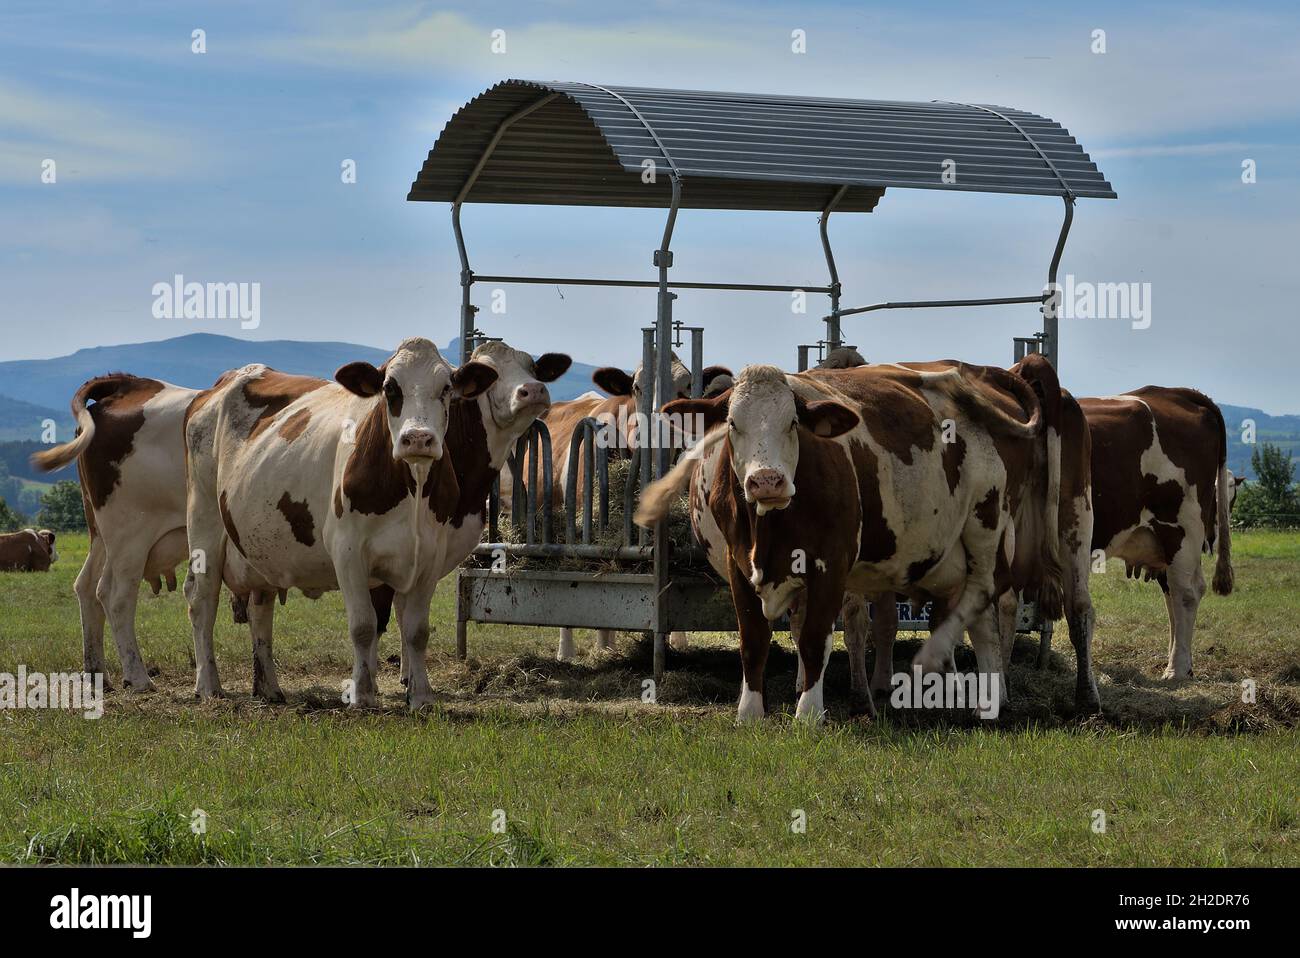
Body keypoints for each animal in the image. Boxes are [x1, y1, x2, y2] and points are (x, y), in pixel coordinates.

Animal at [183, 337, 498, 707]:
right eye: (390, 388)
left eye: (446, 387)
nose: (418, 438)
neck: (413, 489)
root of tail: (226, 381)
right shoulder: (347, 552)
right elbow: (363, 626)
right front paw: (362, 695)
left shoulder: (430, 558)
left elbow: (417, 631)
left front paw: (421, 696)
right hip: (203, 521)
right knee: (202, 599)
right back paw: (208, 685)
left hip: (259, 545)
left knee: (261, 607)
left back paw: (270, 688)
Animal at [636, 361, 1047, 724]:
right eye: (733, 424)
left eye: (793, 423)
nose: (767, 481)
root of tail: (974, 378)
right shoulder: (739, 565)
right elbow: (753, 640)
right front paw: (749, 713)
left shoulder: (830, 566)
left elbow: (815, 638)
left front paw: (809, 713)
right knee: (977, 619)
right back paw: (985, 702)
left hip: (987, 526)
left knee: (984, 602)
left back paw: (963, 679)